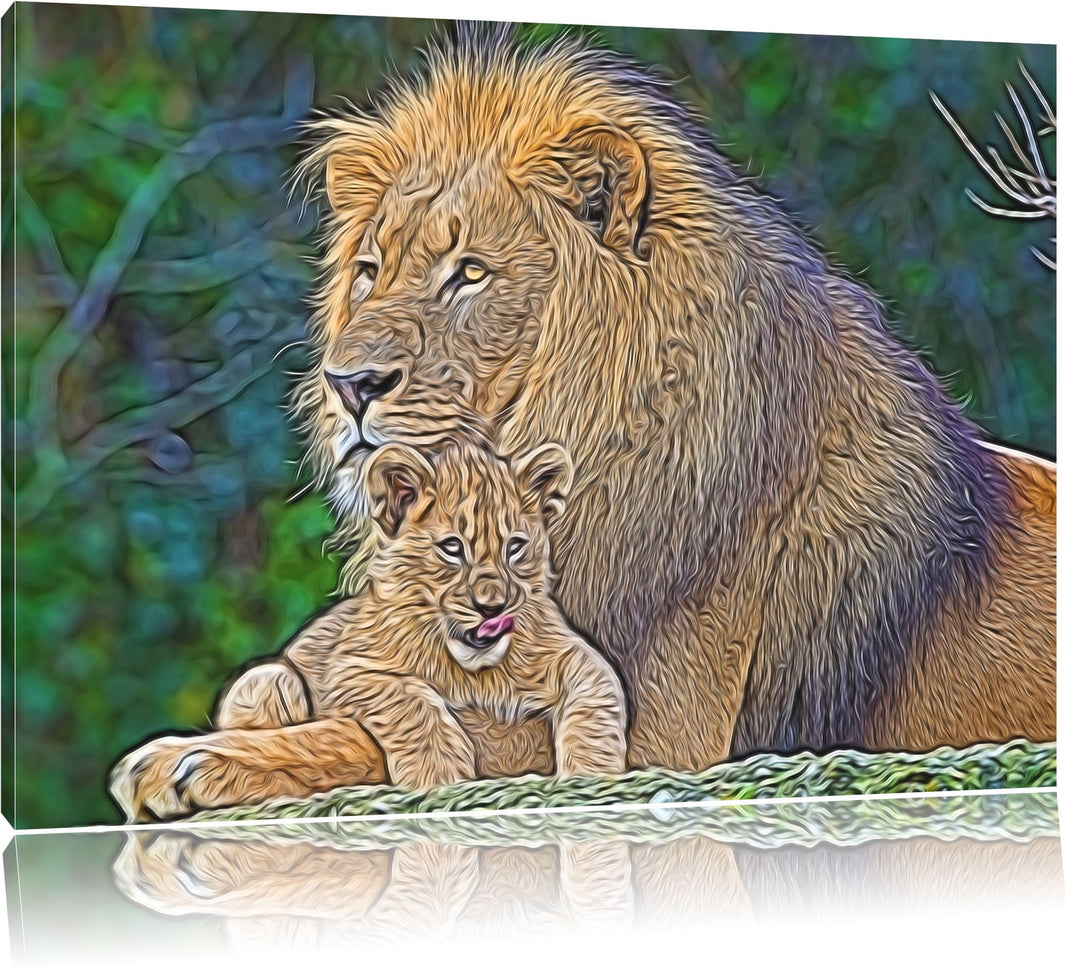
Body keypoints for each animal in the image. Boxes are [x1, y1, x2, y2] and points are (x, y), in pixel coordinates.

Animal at [109, 435, 626, 822]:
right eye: (452, 548)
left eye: (515, 547)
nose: (491, 607)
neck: (478, 670)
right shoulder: (352, 670)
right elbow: (413, 701)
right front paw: (441, 775)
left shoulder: (577, 656)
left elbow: (597, 700)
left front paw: (592, 777)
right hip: (267, 679)